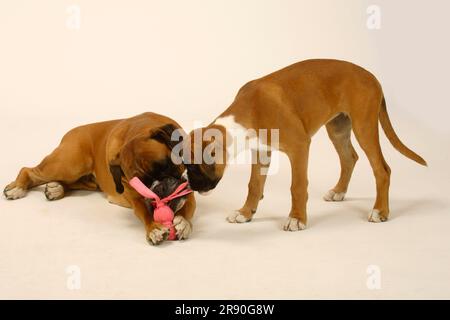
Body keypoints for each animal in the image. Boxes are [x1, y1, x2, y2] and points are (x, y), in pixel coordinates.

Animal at [3, 112, 197, 245]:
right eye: (141, 185)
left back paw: (56, 188)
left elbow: (188, 205)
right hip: (70, 164)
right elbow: (144, 211)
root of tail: (71, 132)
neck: (137, 130)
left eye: (166, 166)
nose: (160, 190)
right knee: (28, 170)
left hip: (84, 177)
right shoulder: (135, 197)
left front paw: (183, 221)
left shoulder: (188, 188)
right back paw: (17, 188)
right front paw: (154, 228)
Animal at [183, 59, 426, 230]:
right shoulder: (261, 152)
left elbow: (297, 186)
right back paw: (339, 192)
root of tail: (372, 76)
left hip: (363, 127)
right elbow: (254, 185)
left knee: (382, 170)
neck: (251, 109)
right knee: (350, 157)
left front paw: (297, 218)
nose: (191, 187)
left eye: (194, 166)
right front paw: (246, 212)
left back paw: (380, 211)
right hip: (338, 128)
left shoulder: (299, 147)